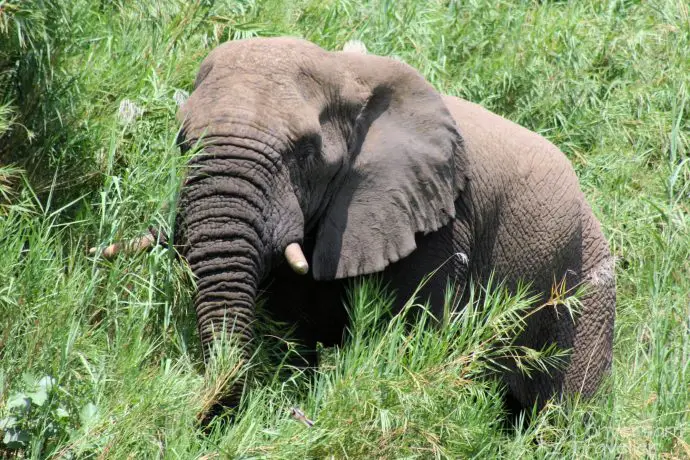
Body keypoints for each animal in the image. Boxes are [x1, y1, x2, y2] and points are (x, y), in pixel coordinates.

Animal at [109, 37, 620, 416]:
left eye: (305, 151)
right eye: (183, 142)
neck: (345, 73)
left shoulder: (441, 225)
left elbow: (411, 337)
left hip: (589, 289)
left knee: (562, 414)